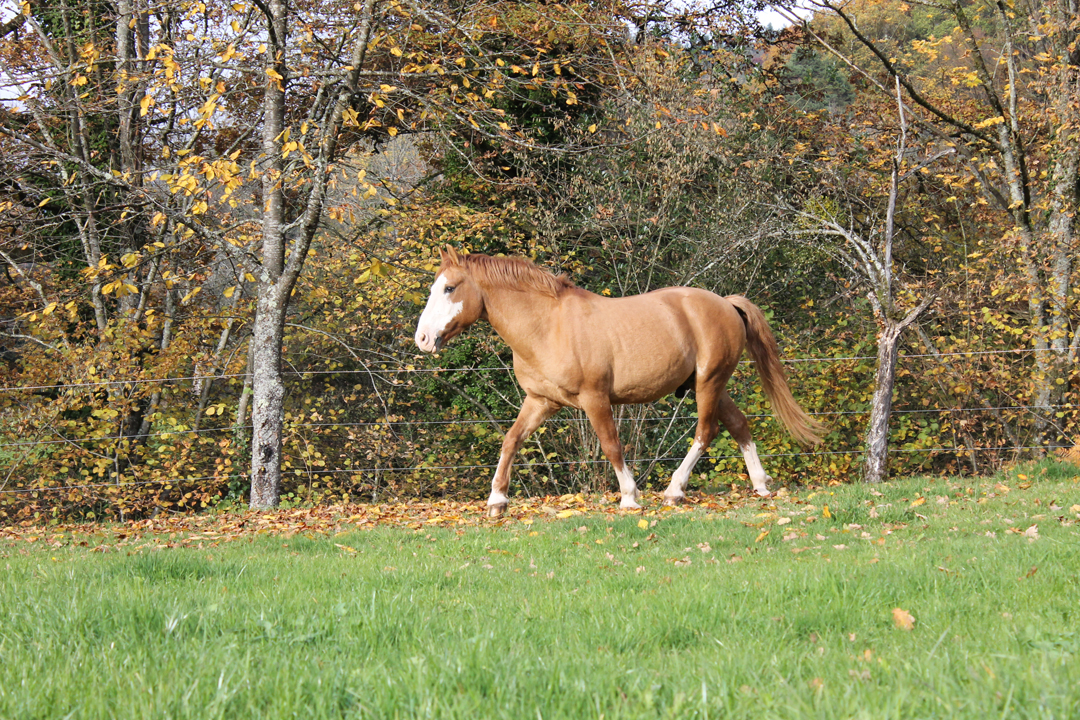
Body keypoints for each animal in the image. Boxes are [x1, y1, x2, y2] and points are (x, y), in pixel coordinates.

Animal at [408, 248, 820, 518]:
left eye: (449, 288)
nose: (423, 339)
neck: (547, 326)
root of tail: (725, 302)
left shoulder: (594, 399)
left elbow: (611, 446)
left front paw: (629, 497)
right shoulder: (540, 401)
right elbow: (511, 441)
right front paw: (496, 501)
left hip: (709, 382)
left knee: (706, 431)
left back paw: (674, 491)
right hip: (709, 385)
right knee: (738, 425)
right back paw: (761, 485)